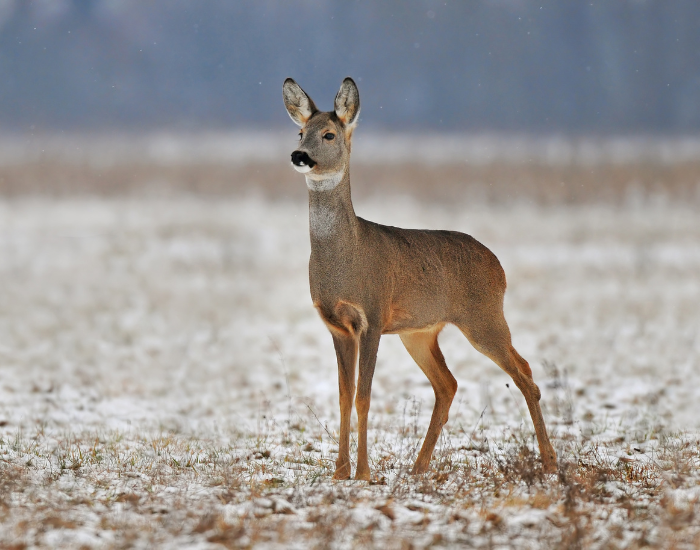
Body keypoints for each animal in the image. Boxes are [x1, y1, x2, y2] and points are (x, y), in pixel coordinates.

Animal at [282, 77, 557, 480]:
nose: (299, 155)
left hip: (484, 317)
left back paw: (550, 462)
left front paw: (363, 473)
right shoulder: (336, 325)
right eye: (301, 132)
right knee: (448, 383)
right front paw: (339, 472)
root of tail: (499, 268)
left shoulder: (373, 316)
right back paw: (418, 466)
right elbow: (343, 396)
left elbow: (364, 396)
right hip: (420, 332)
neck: (344, 260)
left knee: (524, 373)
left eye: (329, 134)